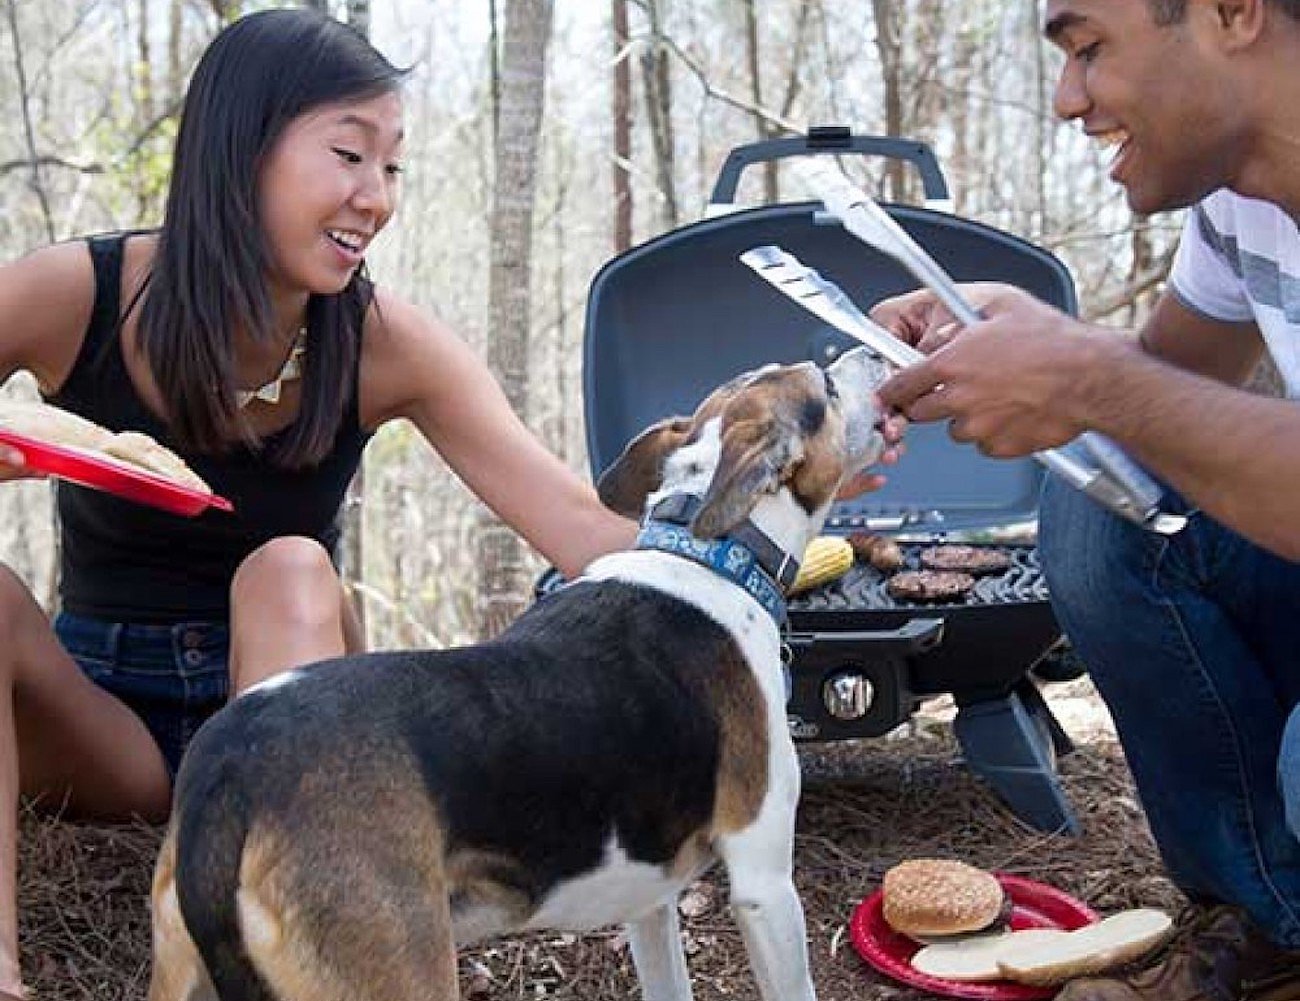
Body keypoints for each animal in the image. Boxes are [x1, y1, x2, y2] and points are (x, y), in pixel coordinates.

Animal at [144, 345, 894, 998]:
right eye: (826, 388)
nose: (874, 353)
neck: (708, 551)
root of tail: (230, 775)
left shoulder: (649, 899)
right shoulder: (764, 882)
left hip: (180, 971)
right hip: (399, 969)